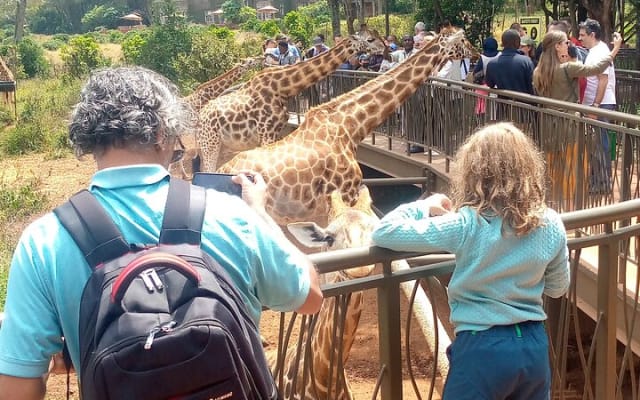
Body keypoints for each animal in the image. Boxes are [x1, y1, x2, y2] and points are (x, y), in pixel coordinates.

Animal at [196, 30, 388, 171]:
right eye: (370, 39)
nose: (385, 49)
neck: (282, 88)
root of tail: (201, 117)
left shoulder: (276, 132)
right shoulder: (266, 132)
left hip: (221, 146)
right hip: (210, 143)